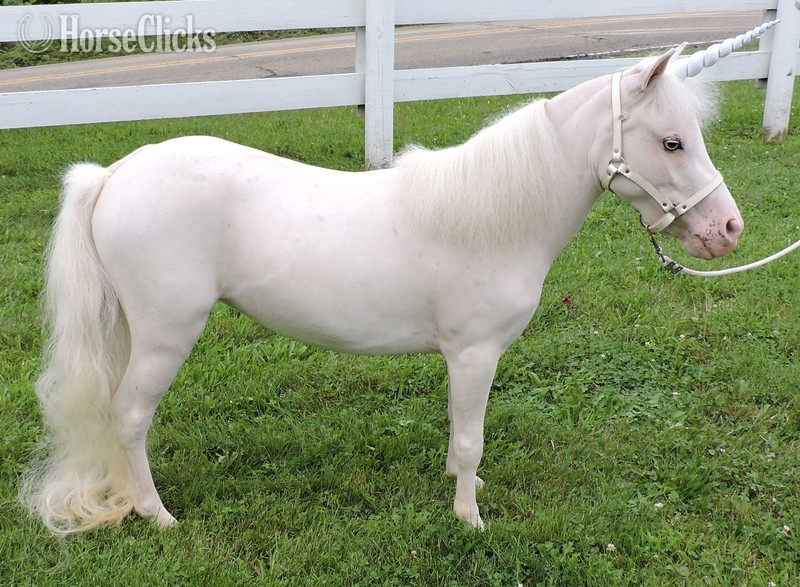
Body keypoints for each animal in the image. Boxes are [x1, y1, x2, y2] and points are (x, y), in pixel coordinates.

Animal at [21, 24, 775, 536]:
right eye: (672, 141)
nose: (728, 229)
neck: (493, 218)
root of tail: (112, 174)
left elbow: (458, 435)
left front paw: (462, 487)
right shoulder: (474, 354)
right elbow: (470, 436)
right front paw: (469, 518)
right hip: (166, 332)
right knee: (128, 415)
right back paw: (158, 514)